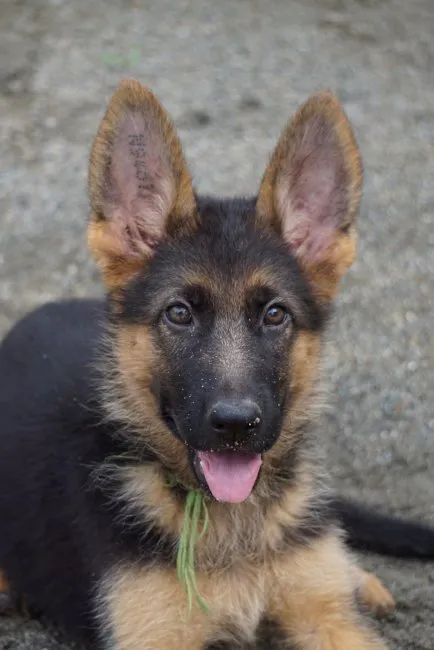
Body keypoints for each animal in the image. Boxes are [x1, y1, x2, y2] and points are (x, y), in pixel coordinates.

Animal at [0, 81, 434, 648]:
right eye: (179, 314)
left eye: (275, 315)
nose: (235, 426)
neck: (233, 522)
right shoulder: (156, 637)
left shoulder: (328, 617)